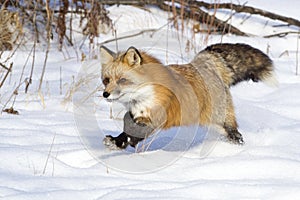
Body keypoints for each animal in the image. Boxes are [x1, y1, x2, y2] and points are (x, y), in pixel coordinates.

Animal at [101, 43, 276, 150]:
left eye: (122, 80)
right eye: (106, 80)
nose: (105, 94)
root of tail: (204, 64)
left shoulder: (156, 119)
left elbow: (133, 134)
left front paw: (119, 142)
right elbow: (128, 129)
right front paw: (118, 141)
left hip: (219, 122)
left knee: (236, 135)